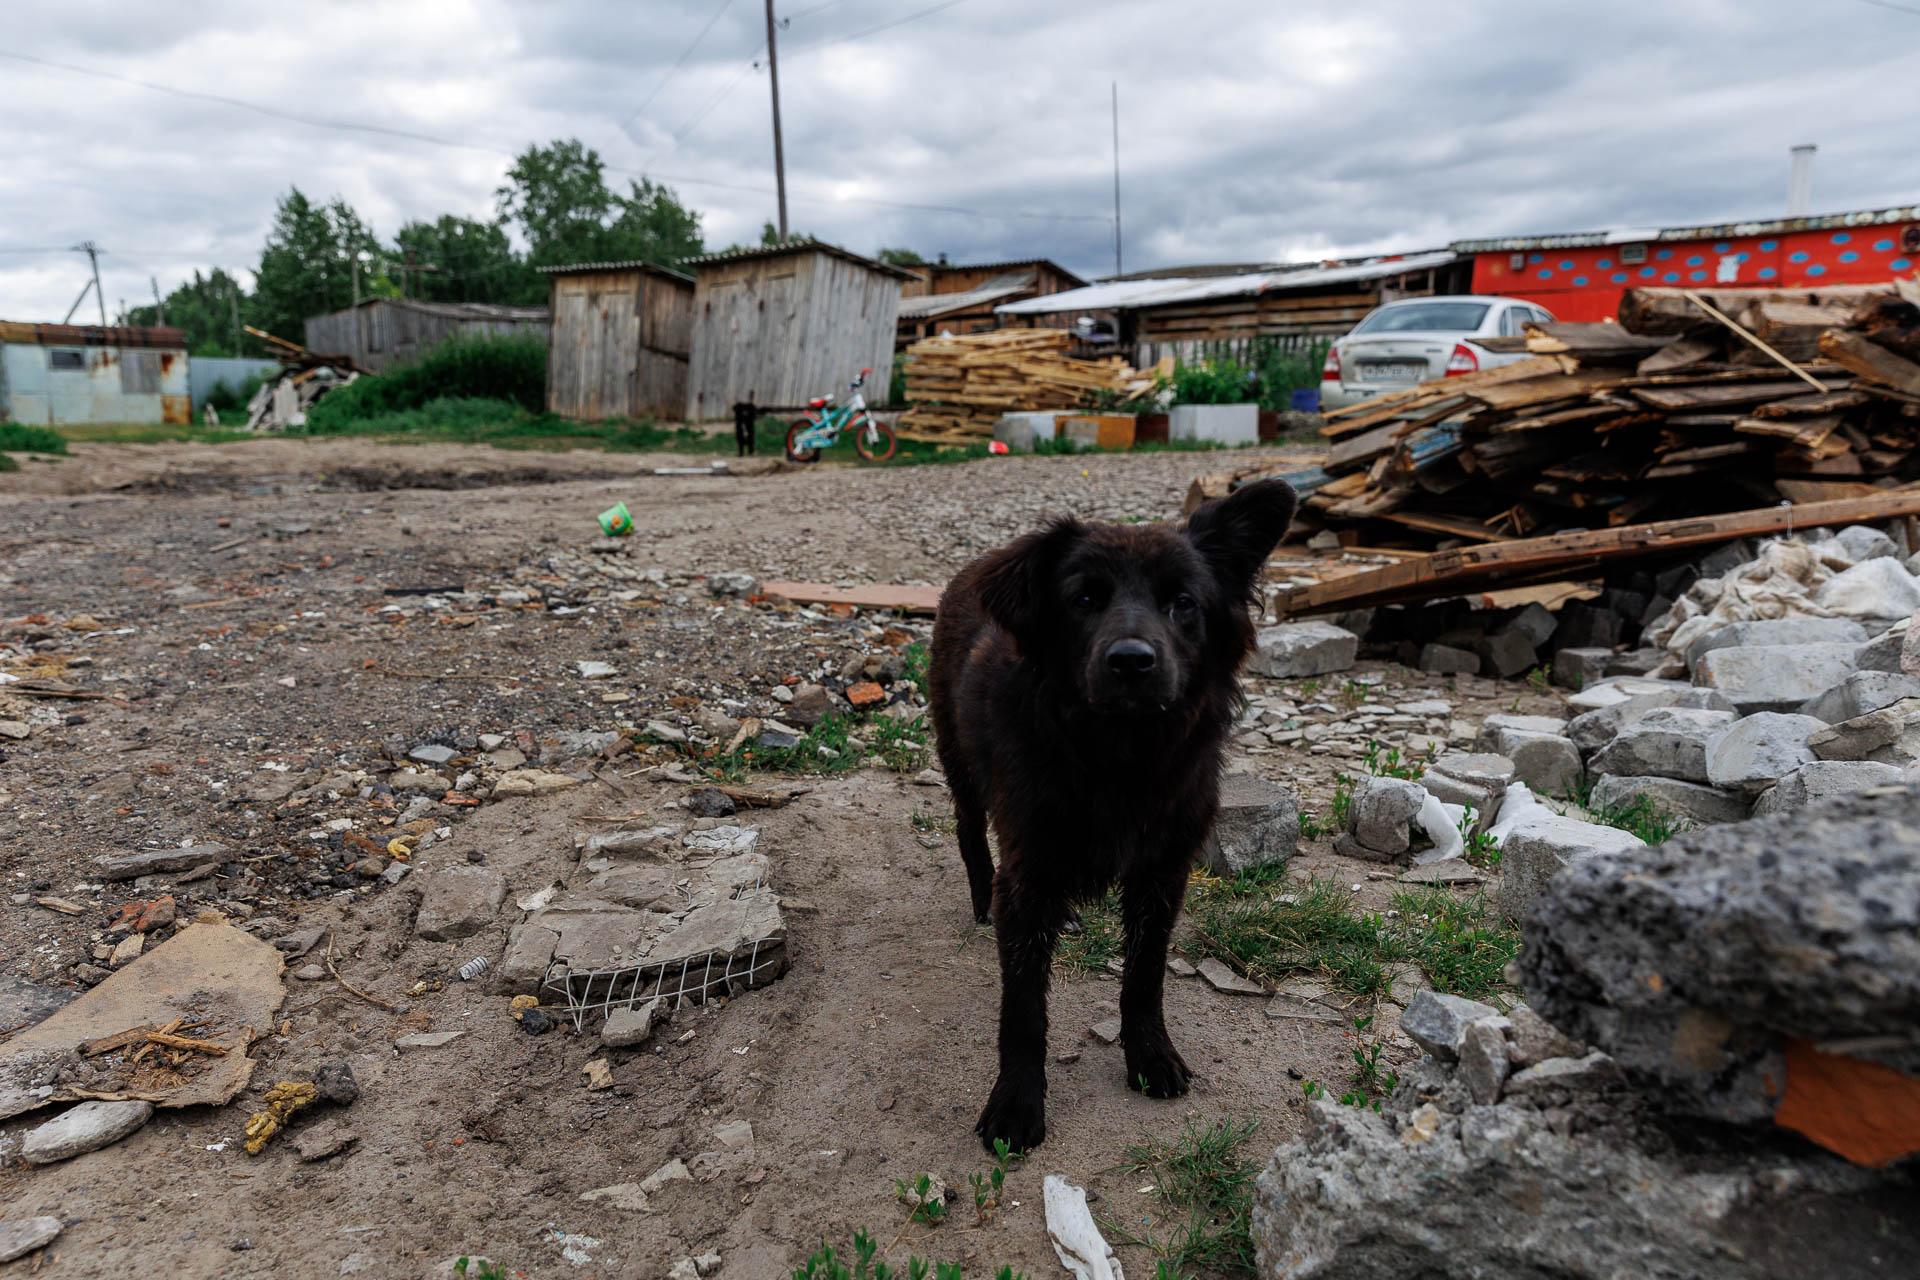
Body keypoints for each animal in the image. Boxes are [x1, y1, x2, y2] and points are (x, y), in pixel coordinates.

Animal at [925, 479, 1297, 1151]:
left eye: (1183, 603)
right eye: (1083, 599)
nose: (1131, 660)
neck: (1118, 756)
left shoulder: (1162, 872)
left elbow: (1144, 977)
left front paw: (1150, 1056)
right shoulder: (1029, 869)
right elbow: (1024, 1009)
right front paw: (1016, 1103)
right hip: (959, 761)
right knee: (969, 832)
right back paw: (981, 901)